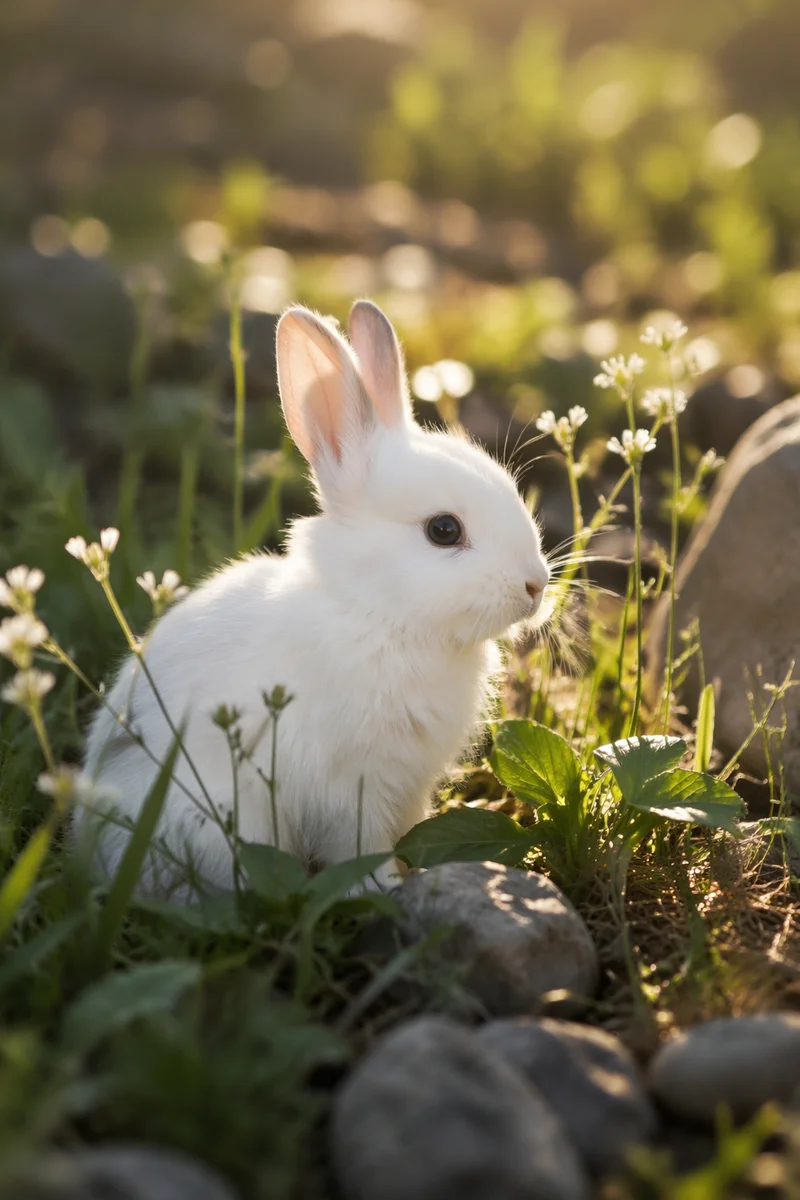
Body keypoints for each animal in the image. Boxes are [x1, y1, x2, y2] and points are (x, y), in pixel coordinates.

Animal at [77, 300, 550, 894]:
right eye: (444, 530)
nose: (536, 585)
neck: (376, 615)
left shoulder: (408, 784)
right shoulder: (350, 790)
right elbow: (360, 846)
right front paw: (386, 887)